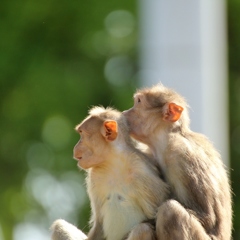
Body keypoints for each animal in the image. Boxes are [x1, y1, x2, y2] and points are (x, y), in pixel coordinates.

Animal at [51, 107, 170, 240]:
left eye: (82, 134)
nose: (75, 148)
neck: (114, 163)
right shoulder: (95, 176)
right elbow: (99, 225)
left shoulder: (143, 175)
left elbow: (153, 218)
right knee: (59, 225)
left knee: (142, 230)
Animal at [123, 84, 232, 240]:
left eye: (138, 102)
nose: (125, 112)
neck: (166, 139)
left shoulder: (181, 155)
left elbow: (207, 217)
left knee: (170, 211)